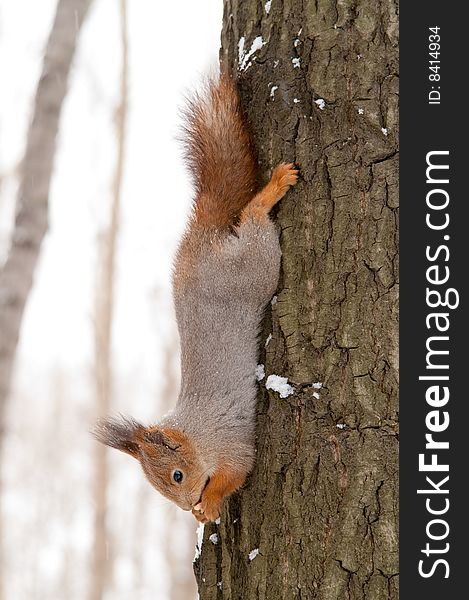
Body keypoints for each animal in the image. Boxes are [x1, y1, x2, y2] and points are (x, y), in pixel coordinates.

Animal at [93, 75, 296, 524]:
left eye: (178, 476)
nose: (186, 508)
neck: (198, 437)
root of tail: (201, 238)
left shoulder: (231, 444)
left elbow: (235, 474)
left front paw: (210, 504)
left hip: (254, 268)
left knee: (254, 219)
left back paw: (275, 186)